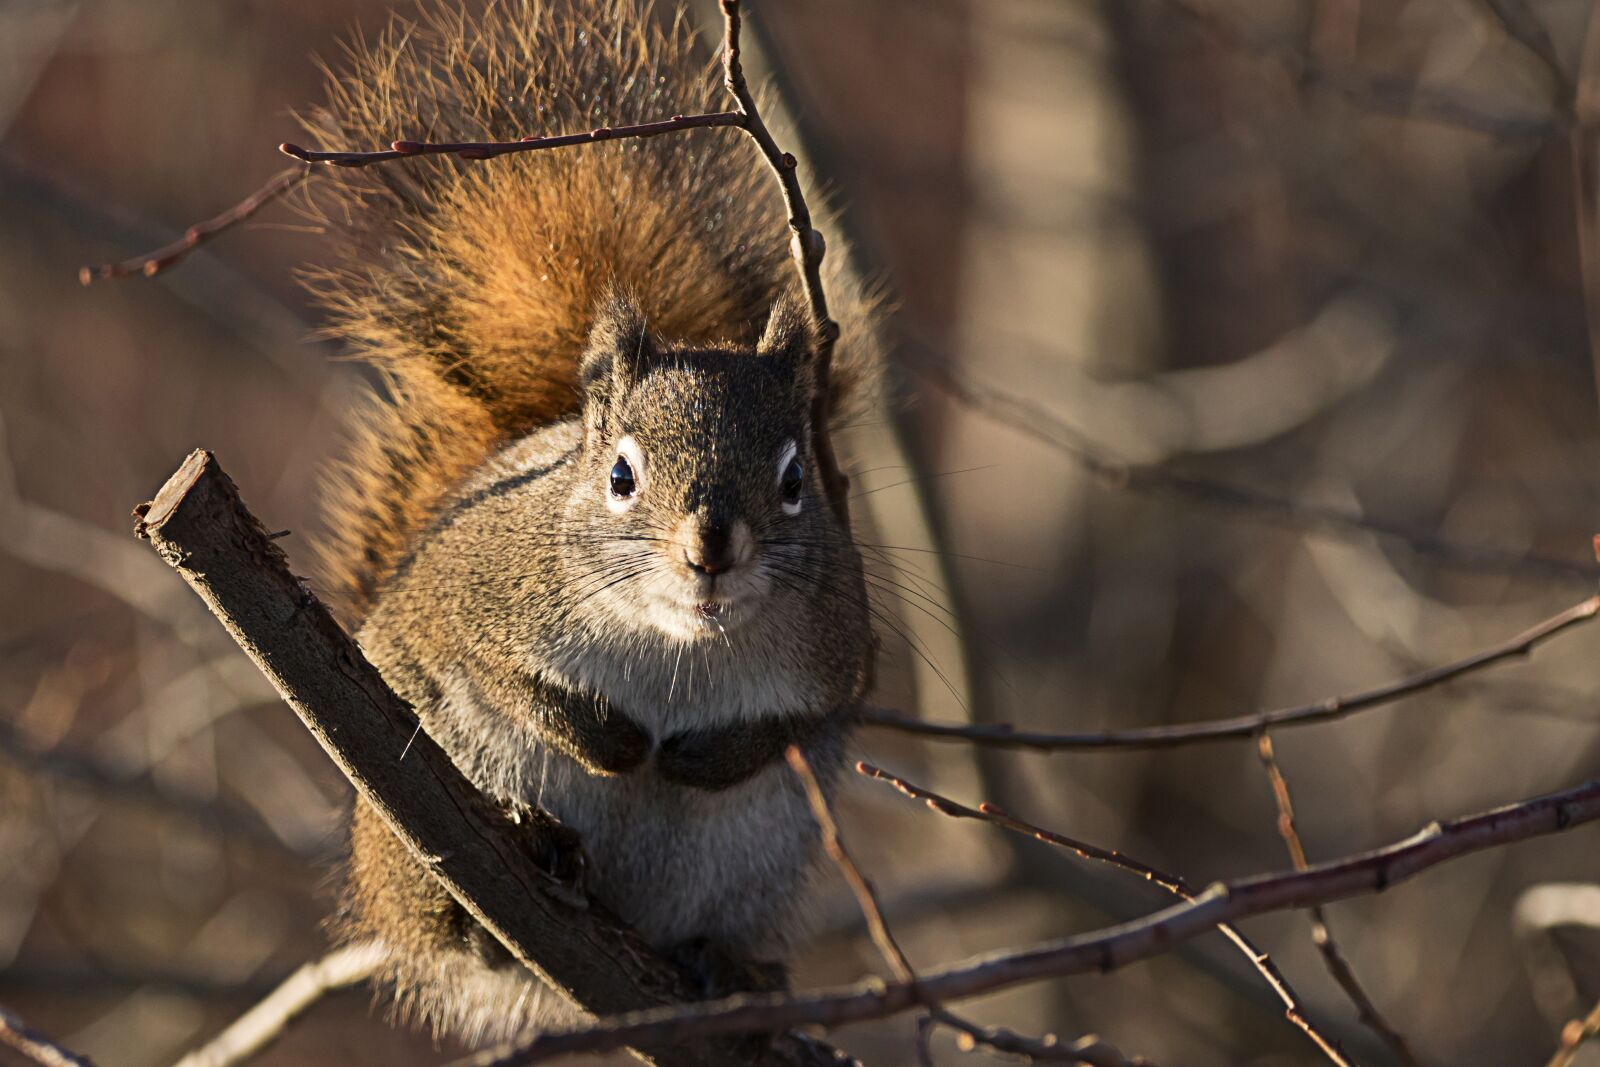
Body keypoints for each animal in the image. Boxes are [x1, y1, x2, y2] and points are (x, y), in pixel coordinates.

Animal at [301, 0, 883, 1045]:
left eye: (793, 481)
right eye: (620, 474)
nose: (710, 549)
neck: (677, 647)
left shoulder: (840, 648)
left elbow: (804, 719)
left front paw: (701, 756)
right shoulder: (471, 596)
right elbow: (496, 672)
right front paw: (609, 744)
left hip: (759, 861)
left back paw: (728, 964)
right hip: (407, 837)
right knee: (445, 929)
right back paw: (511, 871)